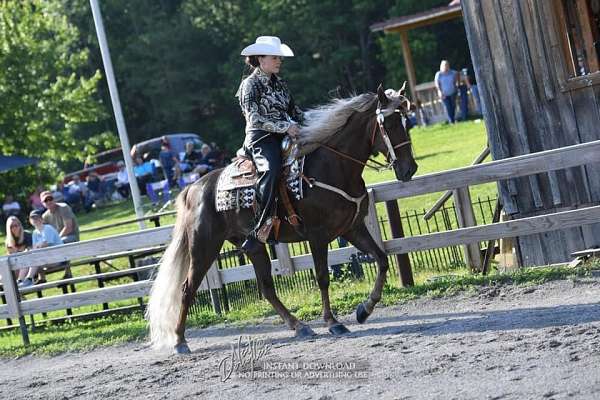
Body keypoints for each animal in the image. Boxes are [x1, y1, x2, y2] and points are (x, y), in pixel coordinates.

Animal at [146, 84, 418, 354]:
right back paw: (180, 341)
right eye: (390, 124)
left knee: (266, 288)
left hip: (253, 247)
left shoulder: (352, 228)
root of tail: (193, 188)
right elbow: (323, 277)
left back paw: (300, 327)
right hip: (203, 248)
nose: (410, 169)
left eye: (407, 121)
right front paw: (333, 322)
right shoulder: (317, 236)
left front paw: (365, 309)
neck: (333, 166)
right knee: (187, 289)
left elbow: (382, 260)